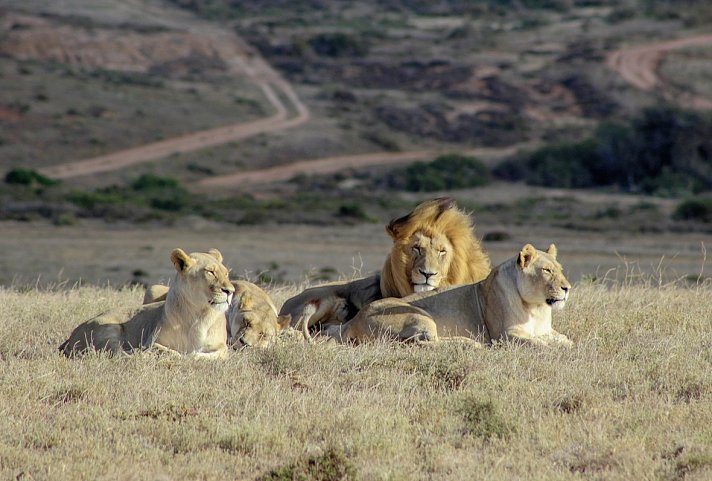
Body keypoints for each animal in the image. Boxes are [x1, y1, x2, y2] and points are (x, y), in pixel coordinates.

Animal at [59, 248, 234, 356]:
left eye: (226, 273)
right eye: (210, 272)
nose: (230, 291)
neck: (198, 314)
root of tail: (70, 337)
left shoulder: (222, 348)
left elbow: (206, 355)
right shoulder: (152, 342)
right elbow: (172, 352)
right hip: (110, 328)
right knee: (117, 353)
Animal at [322, 244, 572, 344]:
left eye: (560, 269)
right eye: (547, 271)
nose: (567, 288)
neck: (536, 307)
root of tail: (353, 320)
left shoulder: (546, 330)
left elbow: (566, 341)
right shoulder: (505, 336)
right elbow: (540, 345)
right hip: (417, 315)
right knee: (418, 343)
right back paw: (471, 344)